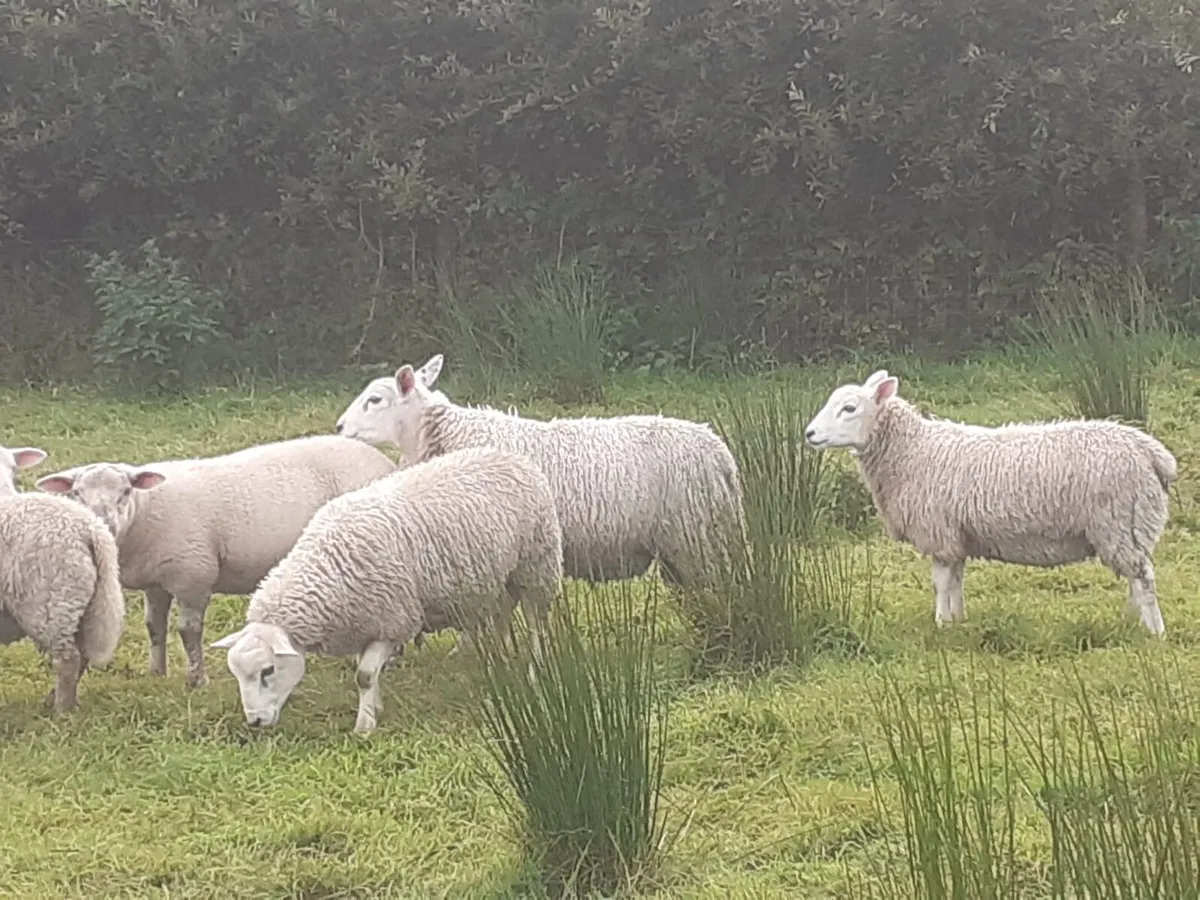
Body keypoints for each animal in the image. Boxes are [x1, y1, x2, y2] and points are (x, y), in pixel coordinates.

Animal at [0, 444, 126, 712]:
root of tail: (91, 528)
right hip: (84, 603)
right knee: (82, 654)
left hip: (50, 603)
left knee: (68, 660)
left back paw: (62, 711)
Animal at [34, 435, 397, 689]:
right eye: (77, 493)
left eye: (125, 491)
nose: (103, 523)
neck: (145, 513)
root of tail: (383, 461)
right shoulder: (156, 581)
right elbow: (154, 628)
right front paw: (157, 672)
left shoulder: (193, 576)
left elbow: (188, 631)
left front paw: (197, 679)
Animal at [209, 445, 564, 734]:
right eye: (236, 674)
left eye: (268, 670)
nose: (255, 722)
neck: (329, 565)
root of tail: (512, 456)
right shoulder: (365, 622)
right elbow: (367, 672)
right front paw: (374, 707)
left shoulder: (394, 619)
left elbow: (365, 675)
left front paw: (365, 725)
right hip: (502, 575)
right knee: (503, 611)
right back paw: (498, 658)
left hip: (537, 562)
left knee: (536, 621)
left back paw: (537, 668)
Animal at [804, 369, 1177, 635]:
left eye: (849, 408)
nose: (809, 434)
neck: (912, 450)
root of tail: (1152, 451)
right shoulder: (956, 535)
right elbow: (956, 580)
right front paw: (958, 620)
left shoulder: (939, 532)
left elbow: (940, 582)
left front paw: (940, 623)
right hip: (1126, 529)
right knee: (1135, 579)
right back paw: (1134, 621)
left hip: (1121, 523)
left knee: (1144, 578)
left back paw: (1154, 632)